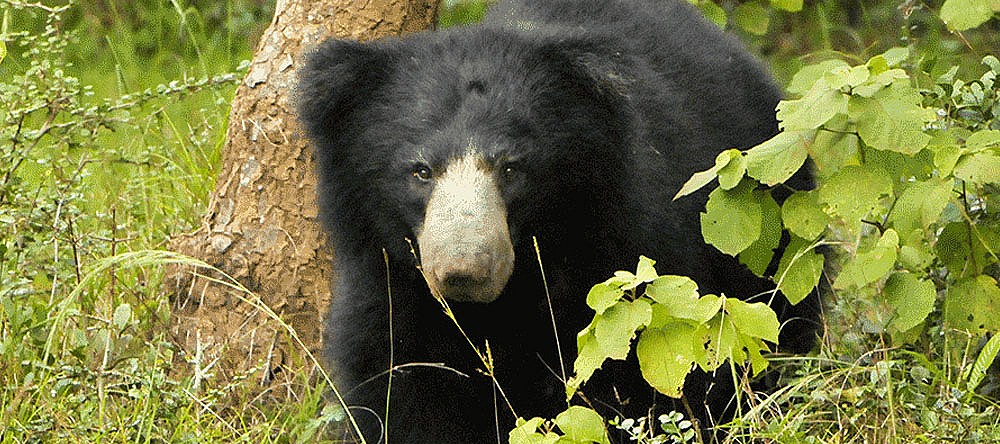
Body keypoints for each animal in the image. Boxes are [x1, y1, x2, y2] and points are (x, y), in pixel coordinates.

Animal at [292, 0, 816, 442]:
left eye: (511, 168)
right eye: (421, 171)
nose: (464, 271)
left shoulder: (623, 255)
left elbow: (625, 378)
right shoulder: (389, 286)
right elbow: (401, 387)